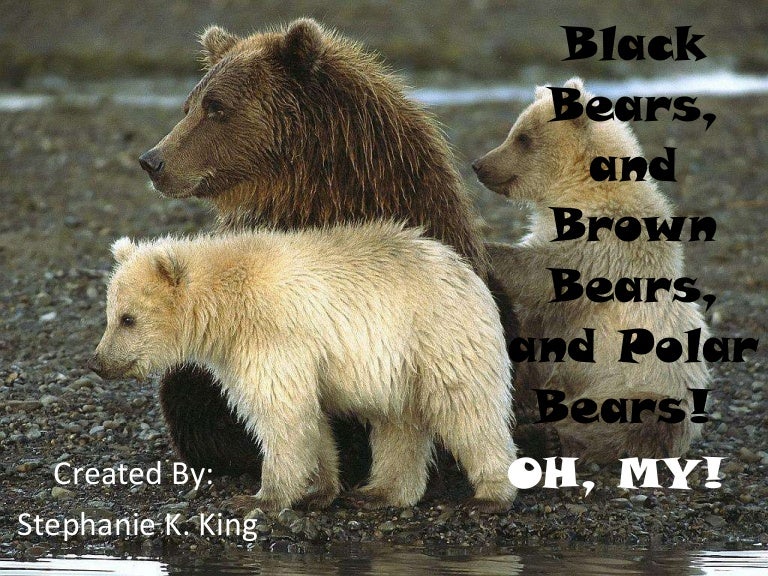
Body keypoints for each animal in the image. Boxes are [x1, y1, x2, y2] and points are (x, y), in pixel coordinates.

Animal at [89, 222, 518, 511]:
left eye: (128, 319)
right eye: (109, 314)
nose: (98, 362)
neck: (225, 311)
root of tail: (466, 272)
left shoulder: (271, 336)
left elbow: (281, 413)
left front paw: (259, 497)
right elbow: (310, 420)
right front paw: (318, 488)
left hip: (438, 338)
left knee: (468, 411)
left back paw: (490, 495)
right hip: (398, 367)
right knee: (399, 423)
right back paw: (381, 492)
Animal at [472, 77, 711, 462]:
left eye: (523, 137)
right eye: (515, 131)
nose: (479, 165)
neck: (580, 189)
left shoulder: (602, 245)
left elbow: (540, 274)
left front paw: (487, 246)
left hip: (644, 387)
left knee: (628, 425)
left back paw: (545, 437)